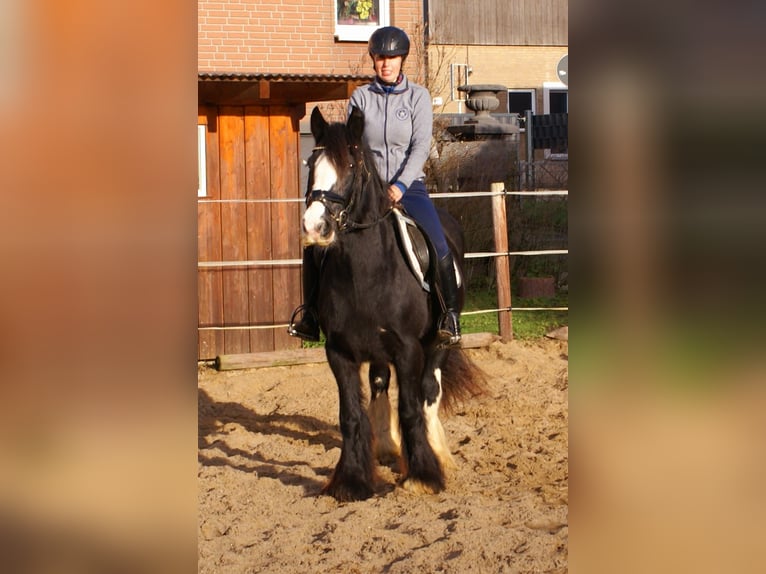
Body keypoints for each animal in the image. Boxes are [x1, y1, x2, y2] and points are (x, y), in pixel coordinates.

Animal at [302, 108, 486, 504]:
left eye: (351, 165)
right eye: (311, 163)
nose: (314, 227)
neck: (366, 272)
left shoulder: (407, 349)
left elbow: (411, 408)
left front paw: (422, 476)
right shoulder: (339, 351)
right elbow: (351, 415)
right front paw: (352, 481)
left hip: (437, 344)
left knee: (429, 393)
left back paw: (438, 456)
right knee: (380, 384)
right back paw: (386, 448)